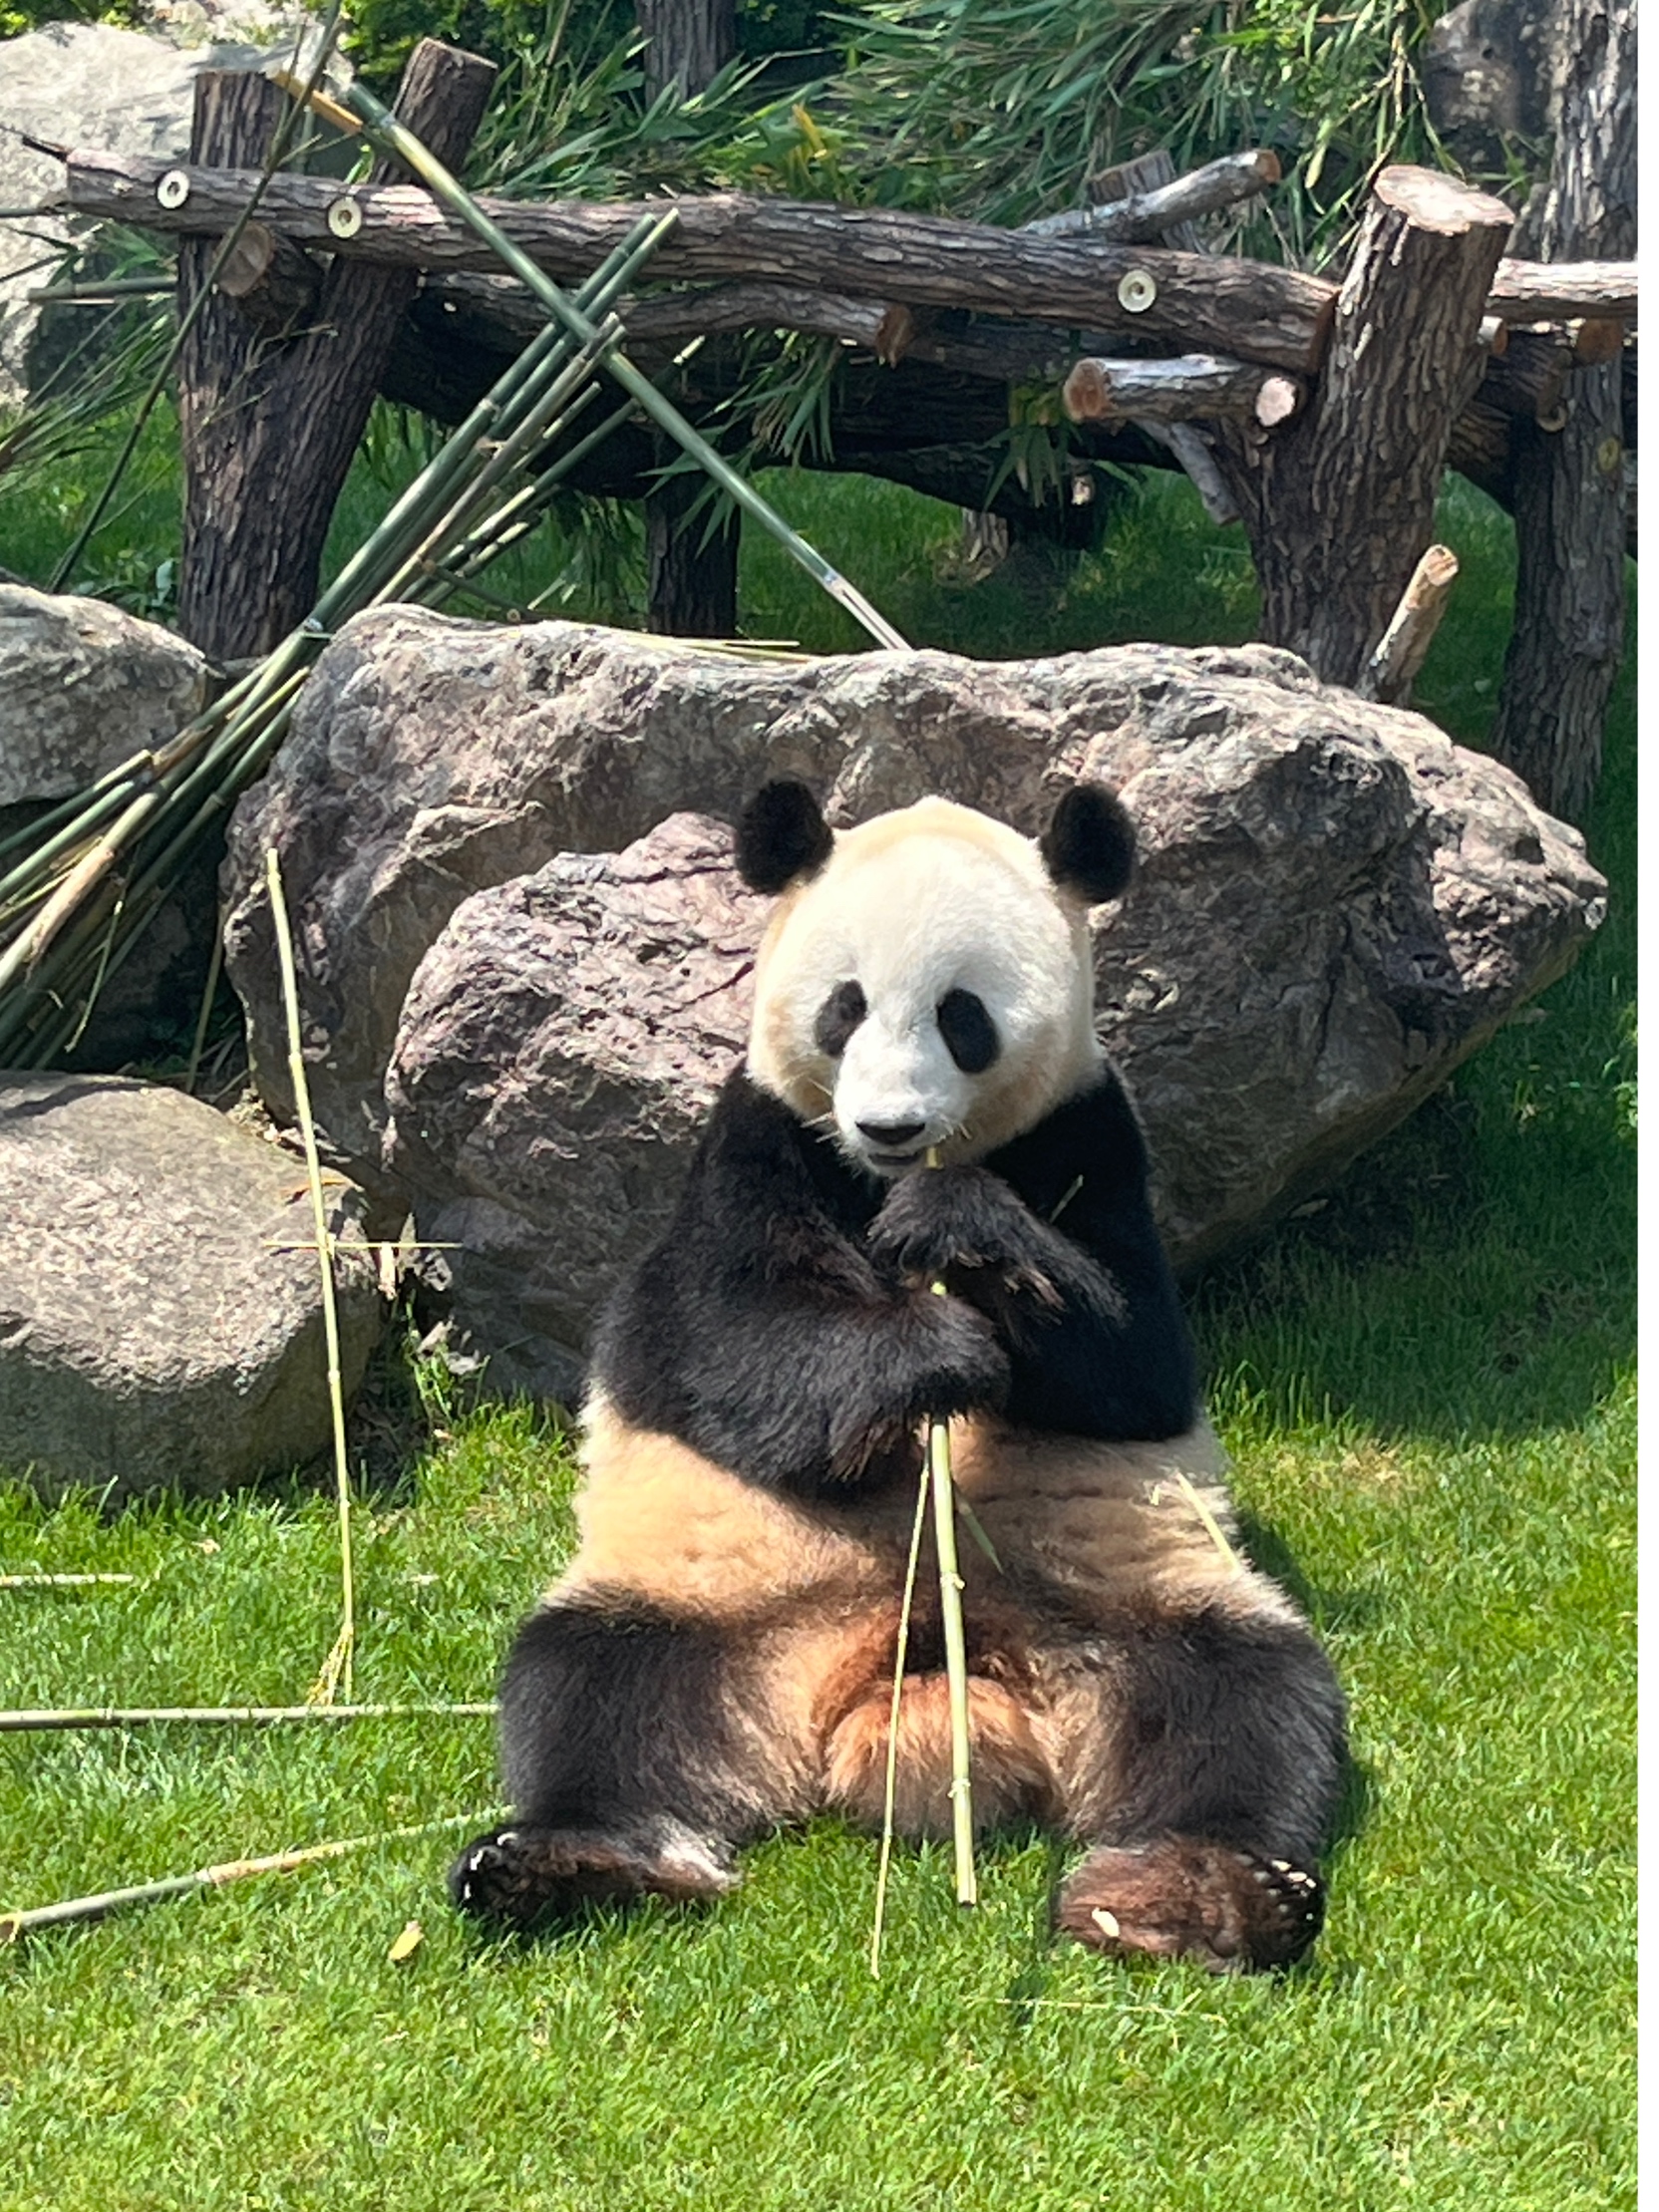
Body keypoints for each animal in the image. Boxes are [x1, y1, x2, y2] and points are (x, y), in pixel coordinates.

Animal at [451, 779, 1346, 1970]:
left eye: (961, 1015)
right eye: (845, 1006)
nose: (888, 1124)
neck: (877, 1180)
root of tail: (902, 1682)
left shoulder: (1095, 1137)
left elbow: (1136, 1359)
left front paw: (962, 1230)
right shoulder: (756, 1143)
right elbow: (718, 1338)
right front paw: (928, 1351)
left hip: (1127, 1608)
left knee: (1241, 1698)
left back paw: (1200, 1891)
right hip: (715, 1606)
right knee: (597, 1689)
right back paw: (569, 1861)